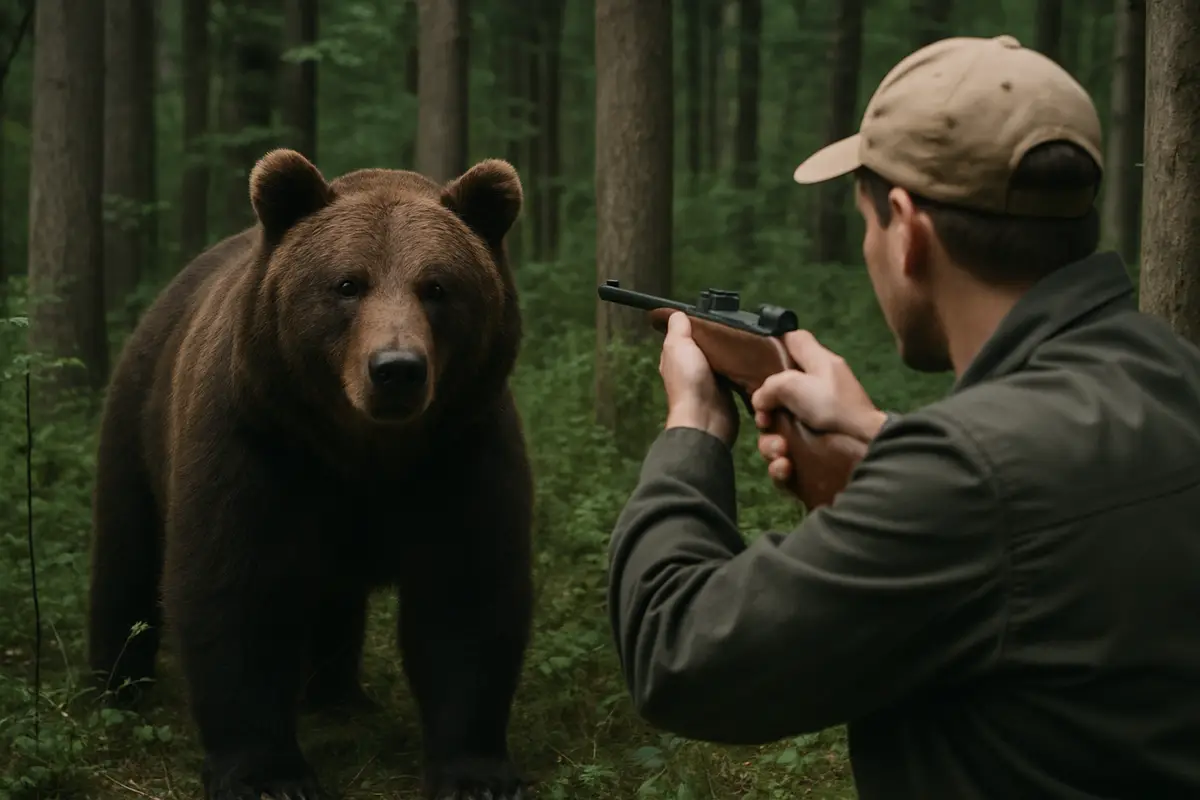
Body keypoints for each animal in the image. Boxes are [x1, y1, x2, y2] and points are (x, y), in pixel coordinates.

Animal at [85, 148, 535, 800]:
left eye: (437, 287)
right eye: (347, 283)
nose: (396, 369)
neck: (360, 449)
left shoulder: (459, 449)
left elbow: (467, 595)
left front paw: (476, 772)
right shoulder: (258, 444)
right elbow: (234, 589)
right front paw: (269, 774)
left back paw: (338, 696)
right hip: (139, 420)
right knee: (126, 552)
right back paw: (115, 688)